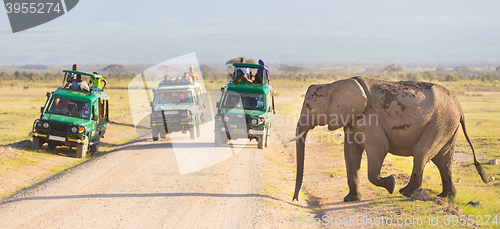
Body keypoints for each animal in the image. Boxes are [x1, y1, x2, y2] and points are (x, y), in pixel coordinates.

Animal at [290, 76, 488, 201]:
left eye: (309, 106)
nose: (295, 199)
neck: (333, 85)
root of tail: (459, 107)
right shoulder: (352, 119)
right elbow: (350, 153)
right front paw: (350, 199)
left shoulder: (369, 117)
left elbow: (379, 148)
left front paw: (390, 184)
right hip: (447, 124)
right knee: (442, 160)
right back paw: (446, 197)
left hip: (439, 122)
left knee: (422, 153)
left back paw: (404, 192)